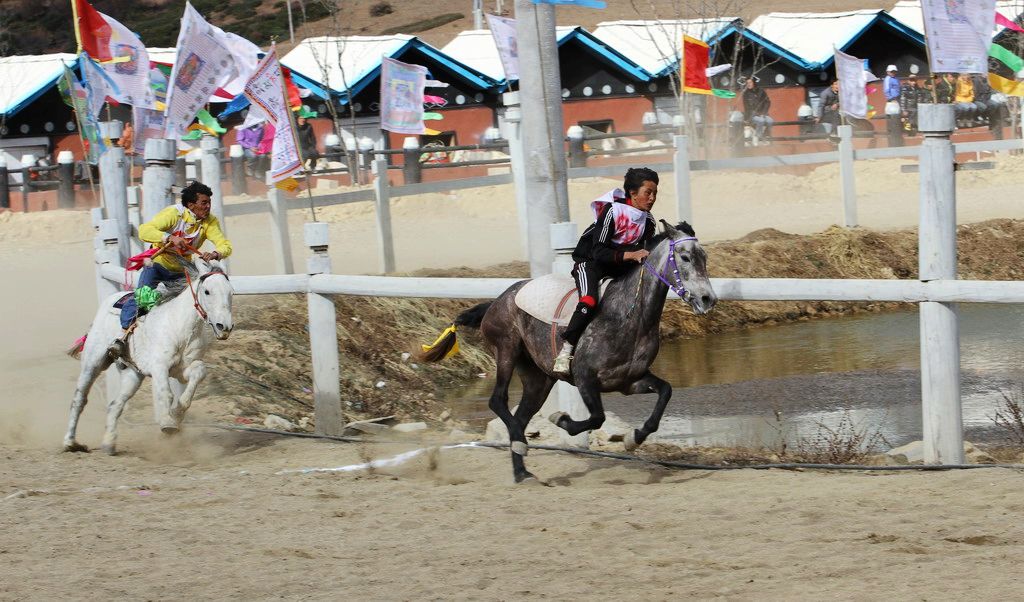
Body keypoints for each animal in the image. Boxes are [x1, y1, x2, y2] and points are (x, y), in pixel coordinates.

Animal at [64, 259, 234, 456]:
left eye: (231, 292)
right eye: (207, 291)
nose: (224, 327)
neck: (180, 326)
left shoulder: (180, 370)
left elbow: (198, 372)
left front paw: (176, 414)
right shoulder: (159, 366)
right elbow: (165, 393)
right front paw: (167, 423)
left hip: (133, 374)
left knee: (115, 404)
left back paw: (109, 443)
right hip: (93, 362)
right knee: (79, 399)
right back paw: (71, 443)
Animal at [428, 219, 716, 481]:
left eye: (704, 257)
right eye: (686, 257)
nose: (708, 299)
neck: (628, 315)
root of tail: (496, 301)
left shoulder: (629, 380)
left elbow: (665, 392)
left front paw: (634, 437)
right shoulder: (584, 377)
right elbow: (597, 417)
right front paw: (561, 419)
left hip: (538, 378)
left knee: (520, 416)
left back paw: (522, 471)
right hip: (506, 349)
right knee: (497, 400)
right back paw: (520, 444)